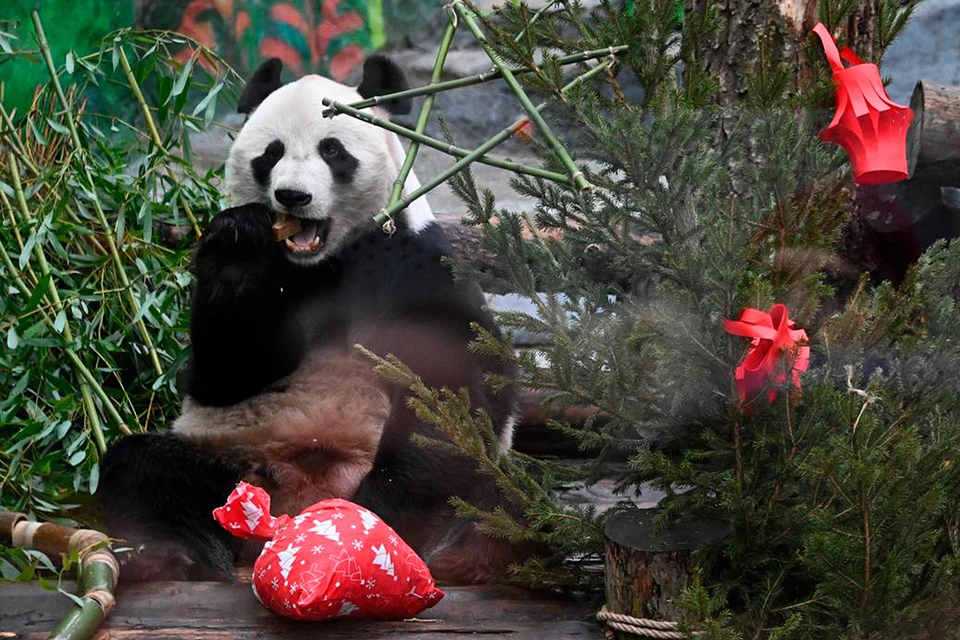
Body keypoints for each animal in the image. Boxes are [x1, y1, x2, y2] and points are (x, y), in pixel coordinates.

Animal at [97, 55, 524, 584]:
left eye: (333, 150)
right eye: (271, 153)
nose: (292, 196)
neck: (324, 261)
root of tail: (301, 498)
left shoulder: (415, 262)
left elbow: (451, 387)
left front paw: (384, 515)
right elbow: (222, 375)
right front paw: (239, 245)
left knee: (505, 501)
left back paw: (458, 552)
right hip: (231, 460)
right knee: (143, 469)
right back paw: (168, 554)